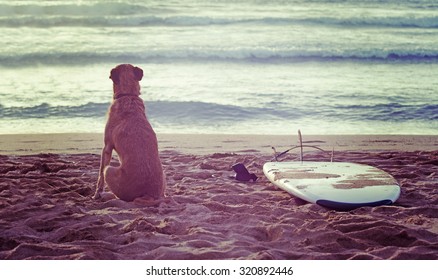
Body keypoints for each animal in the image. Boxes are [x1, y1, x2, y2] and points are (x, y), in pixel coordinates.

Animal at [93, 64, 166, 202]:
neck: (128, 95)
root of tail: (148, 193)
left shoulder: (106, 147)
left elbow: (100, 176)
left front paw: (97, 194)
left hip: (109, 170)